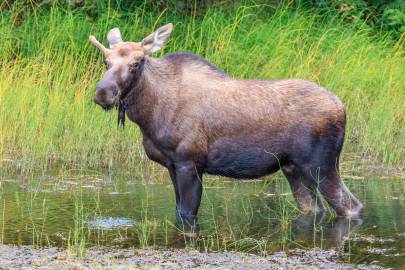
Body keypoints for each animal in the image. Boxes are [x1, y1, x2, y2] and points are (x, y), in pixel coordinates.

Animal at [89, 23, 362, 223]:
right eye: (106, 61)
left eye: (136, 63)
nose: (103, 93)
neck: (149, 115)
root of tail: (342, 107)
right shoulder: (171, 165)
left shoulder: (190, 162)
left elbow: (187, 215)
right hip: (293, 167)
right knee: (315, 208)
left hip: (321, 164)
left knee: (352, 207)